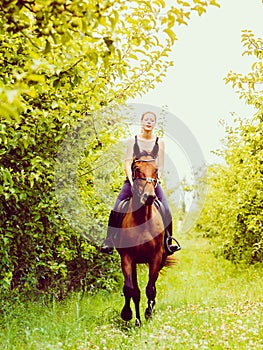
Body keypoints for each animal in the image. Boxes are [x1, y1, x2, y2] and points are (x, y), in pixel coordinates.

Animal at [115, 147, 175, 326]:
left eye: (156, 169)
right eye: (136, 168)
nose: (149, 197)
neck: (142, 219)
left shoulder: (155, 257)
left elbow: (150, 288)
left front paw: (148, 313)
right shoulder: (127, 257)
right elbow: (131, 289)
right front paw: (129, 315)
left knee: (152, 286)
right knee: (135, 289)